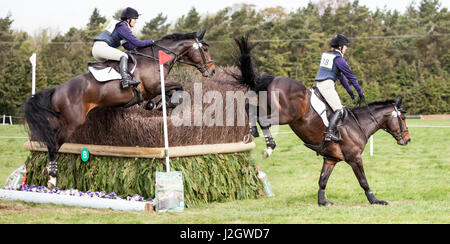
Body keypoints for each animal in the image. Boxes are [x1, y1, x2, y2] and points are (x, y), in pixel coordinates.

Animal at [23, 29, 217, 189]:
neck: (154, 59)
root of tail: (56, 90)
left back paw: (47, 171)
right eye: (205, 49)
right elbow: (178, 86)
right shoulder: (154, 86)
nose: (212, 71)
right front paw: (166, 102)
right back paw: (52, 177)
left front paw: (157, 104)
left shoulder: (153, 89)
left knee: (50, 140)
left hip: (59, 120)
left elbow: (168, 92)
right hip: (73, 122)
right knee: (54, 144)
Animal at [232, 35, 412, 205]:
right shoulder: (354, 158)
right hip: (284, 115)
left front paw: (323, 202)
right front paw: (375, 200)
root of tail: (273, 79)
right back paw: (267, 143)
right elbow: (363, 181)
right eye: (403, 117)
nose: (408, 139)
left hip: (269, 107)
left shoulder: (330, 159)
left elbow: (322, 180)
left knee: (249, 106)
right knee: (261, 119)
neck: (359, 124)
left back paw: (261, 139)